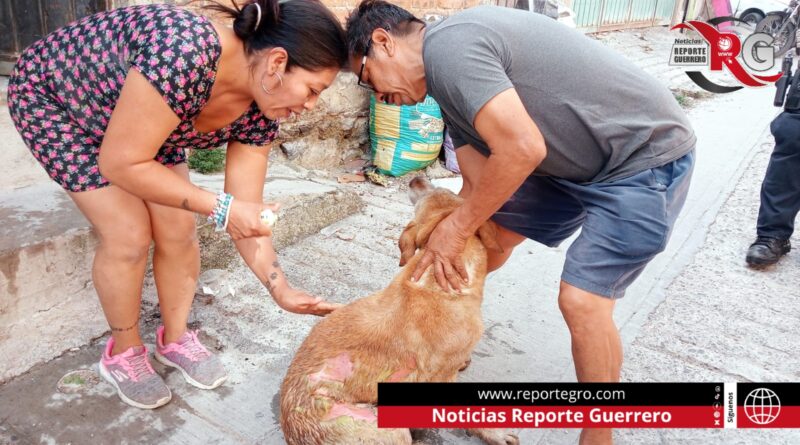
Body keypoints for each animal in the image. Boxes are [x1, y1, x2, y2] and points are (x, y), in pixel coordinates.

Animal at [280, 177, 520, 444]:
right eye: (443, 189)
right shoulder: (443, 375)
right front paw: (493, 433)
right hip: (386, 427)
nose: (416, 178)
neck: (432, 278)